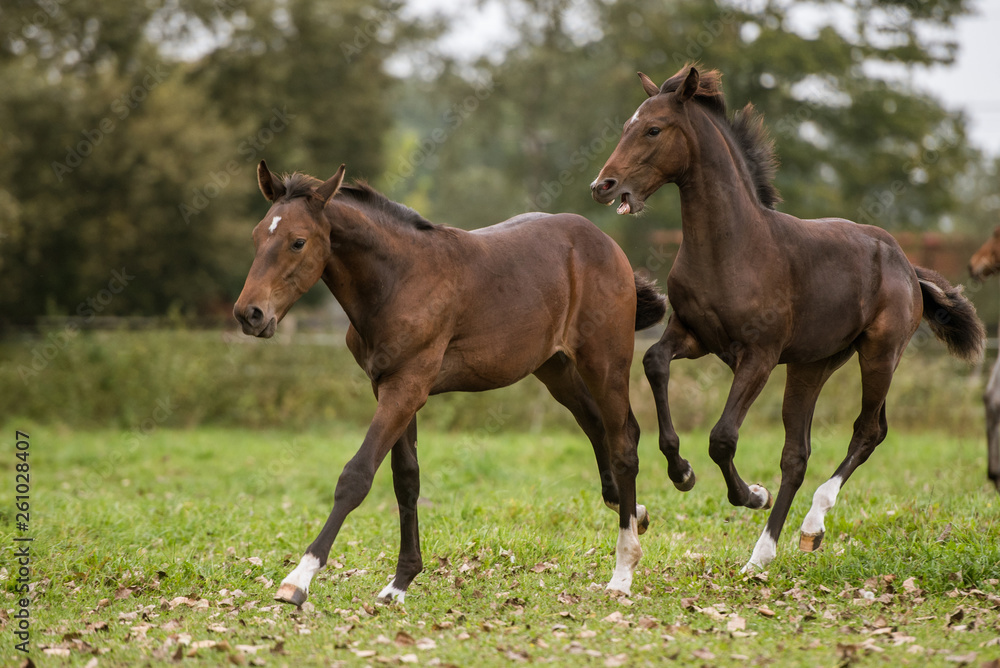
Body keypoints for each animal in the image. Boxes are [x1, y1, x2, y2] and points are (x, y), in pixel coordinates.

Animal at [237, 159, 668, 604]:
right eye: (257, 235)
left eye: (298, 242)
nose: (249, 314)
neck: (399, 280)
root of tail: (606, 242)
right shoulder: (392, 387)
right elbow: (406, 480)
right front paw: (400, 582)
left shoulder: (406, 387)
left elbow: (356, 476)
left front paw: (298, 578)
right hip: (556, 367)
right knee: (598, 426)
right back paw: (634, 512)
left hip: (605, 361)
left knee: (624, 443)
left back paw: (623, 569)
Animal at [584, 65, 984, 572]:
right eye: (625, 127)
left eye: (653, 129)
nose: (603, 186)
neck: (732, 245)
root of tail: (908, 267)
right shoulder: (693, 335)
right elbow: (654, 363)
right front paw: (682, 472)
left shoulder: (759, 354)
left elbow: (722, 437)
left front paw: (751, 494)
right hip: (813, 365)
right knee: (798, 454)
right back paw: (762, 555)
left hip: (879, 355)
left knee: (868, 430)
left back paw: (810, 526)